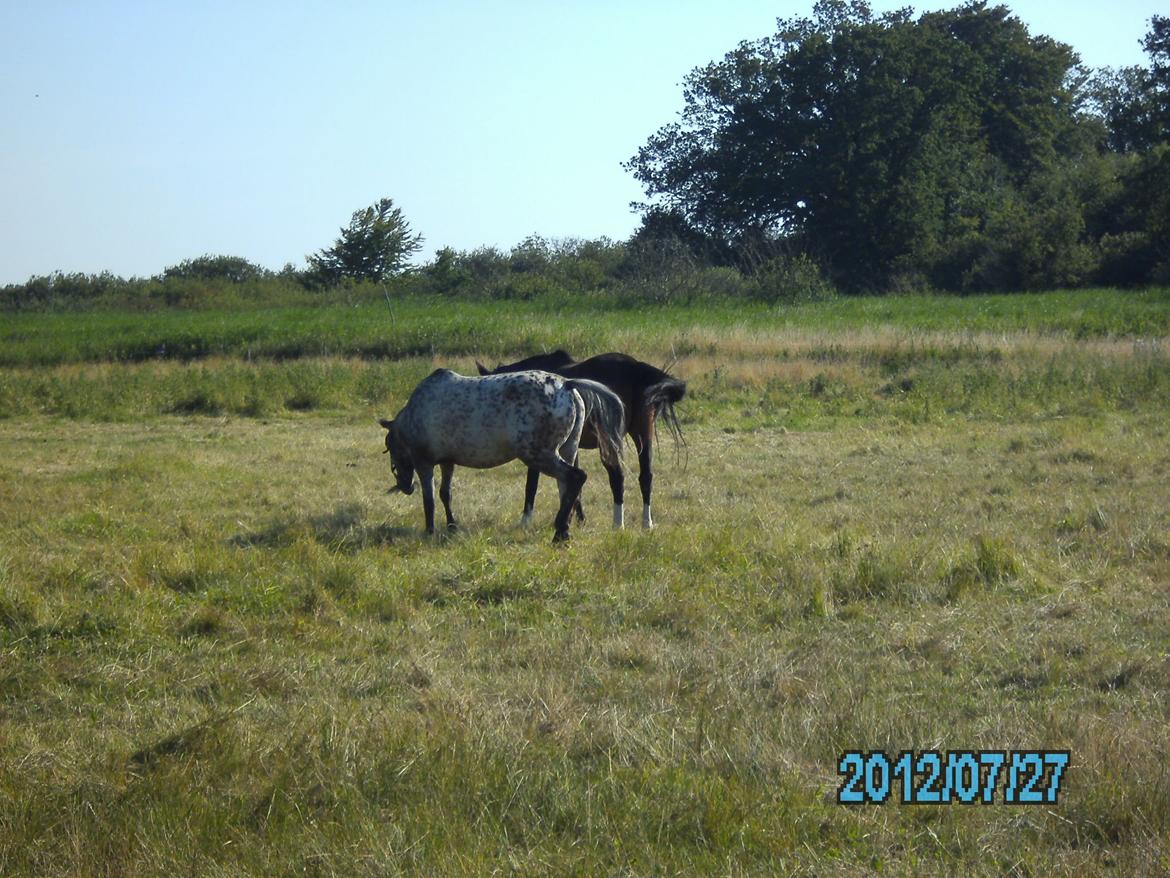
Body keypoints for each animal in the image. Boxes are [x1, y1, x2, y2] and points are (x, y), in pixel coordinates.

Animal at [381, 365, 622, 543]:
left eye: (391, 448)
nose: (405, 486)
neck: (414, 413)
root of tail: (566, 384)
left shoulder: (424, 463)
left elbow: (429, 499)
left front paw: (429, 531)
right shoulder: (448, 462)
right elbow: (445, 494)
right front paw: (451, 526)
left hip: (539, 455)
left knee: (576, 477)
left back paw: (559, 531)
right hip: (567, 450)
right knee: (567, 489)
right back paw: (564, 532)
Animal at [472, 351, 683, 529]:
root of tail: (636, 368)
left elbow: (532, 484)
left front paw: (526, 521)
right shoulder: (569, 447)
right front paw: (578, 519)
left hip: (610, 441)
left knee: (617, 476)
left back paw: (618, 524)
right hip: (642, 433)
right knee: (646, 476)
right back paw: (647, 524)